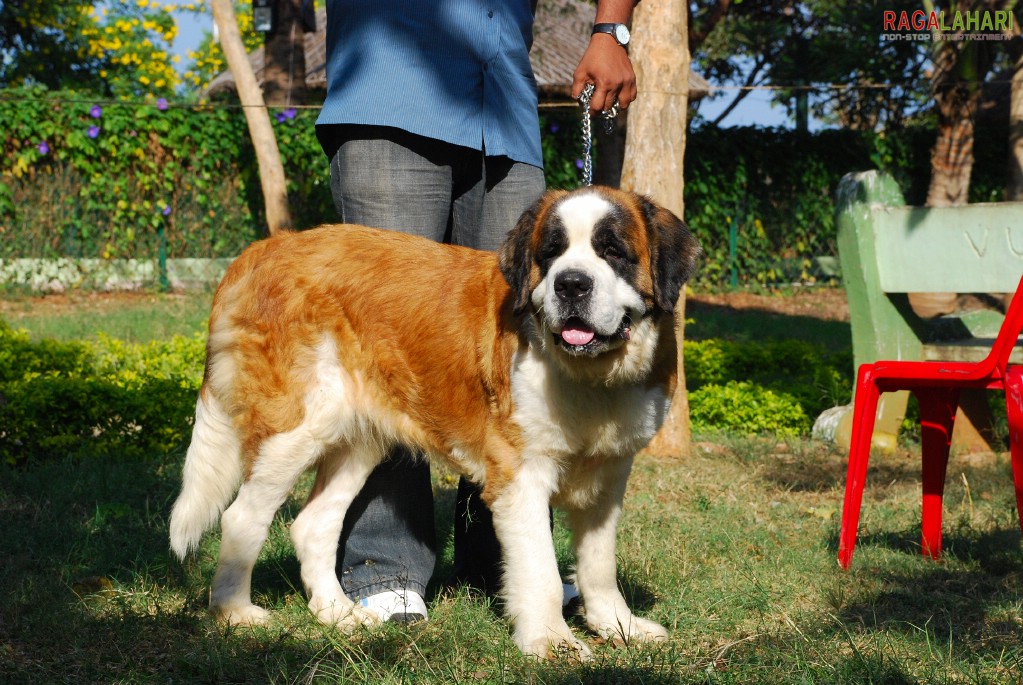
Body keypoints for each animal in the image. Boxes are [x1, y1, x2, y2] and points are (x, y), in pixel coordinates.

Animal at [171, 185, 703, 658]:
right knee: (242, 517)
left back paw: (338, 614)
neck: (592, 376)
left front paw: (619, 626)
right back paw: (236, 613)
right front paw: (551, 643)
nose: (570, 283)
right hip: (293, 431)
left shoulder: (609, 475)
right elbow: (542, 571)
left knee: (313, 525)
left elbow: (599, 566)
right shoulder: (521, 476)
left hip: (358, 438)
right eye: (551, 254)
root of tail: (264, 248)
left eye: (613, 252)